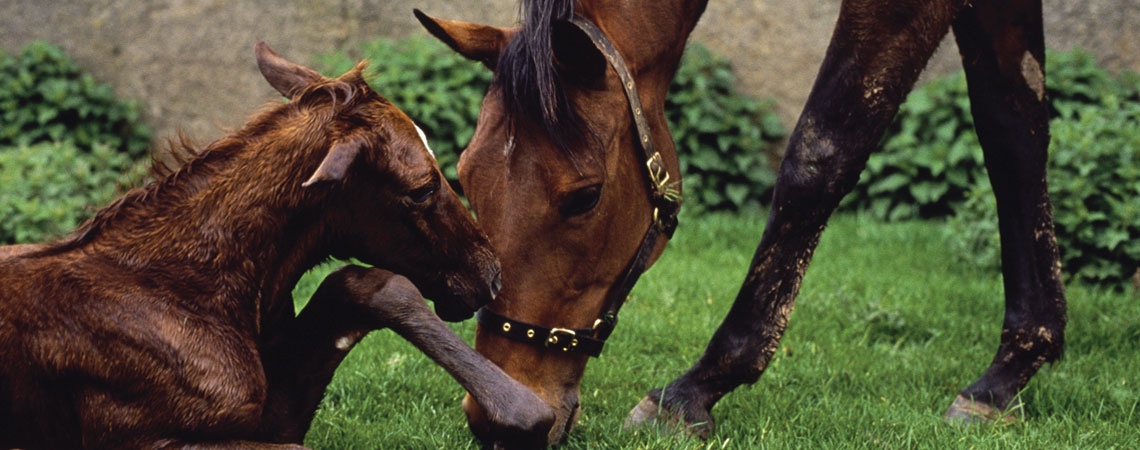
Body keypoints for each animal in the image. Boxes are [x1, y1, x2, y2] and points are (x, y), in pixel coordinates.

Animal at [0, 42, 551, 450]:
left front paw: (522, 410)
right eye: (421, 188)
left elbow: (361, 282)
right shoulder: (143, 439)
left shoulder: (267, 414)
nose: (490, 273)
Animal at [421, 0, 1067, 446]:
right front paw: (1010, 370)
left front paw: (696, 388)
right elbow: (1014, 131)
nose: (496, 420)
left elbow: (822, 150)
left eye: (585, 197)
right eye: (465, 178)